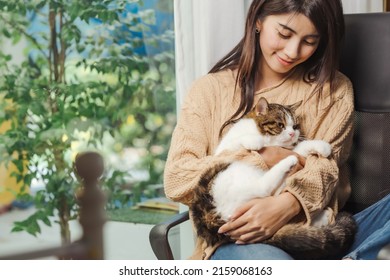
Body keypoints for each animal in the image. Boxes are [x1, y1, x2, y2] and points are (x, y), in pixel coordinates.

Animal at [190, 97, 358, 260]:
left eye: (295, 126)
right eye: (280, 125)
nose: (292, 134)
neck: (268, 139)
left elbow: (299, 148)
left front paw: (321, 146)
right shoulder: (225, 150)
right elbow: (239, 142)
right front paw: (254, 141)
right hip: (230, 174)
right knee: (263, 187)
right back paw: (288, 162)